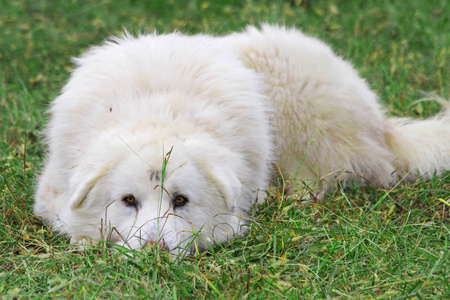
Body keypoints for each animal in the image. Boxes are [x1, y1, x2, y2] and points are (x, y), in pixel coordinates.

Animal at [35, 24, 450, 255]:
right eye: (128, 201)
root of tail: (383, 126)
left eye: (181, 200)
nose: (155, 249)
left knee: (317, 181)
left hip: (281, 72)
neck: (158, 107)